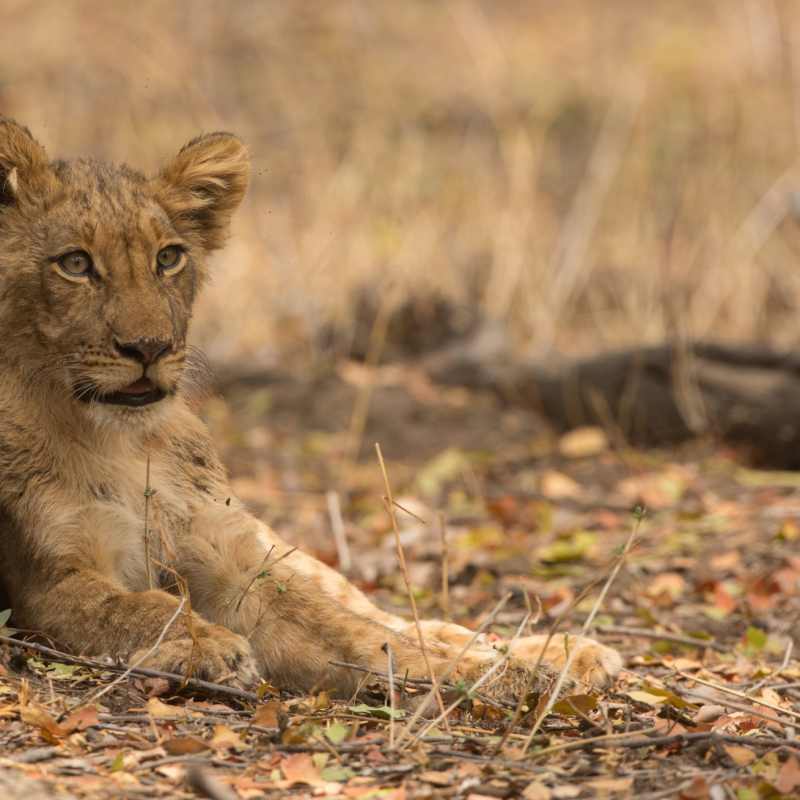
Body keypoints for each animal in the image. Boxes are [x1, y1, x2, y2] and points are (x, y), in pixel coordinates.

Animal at [0, 118, 621, 701]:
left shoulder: (228, 557)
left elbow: (353, 632)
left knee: (382, 611)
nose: (149, 348)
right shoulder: (47, 581)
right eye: (75, 264)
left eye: (168, 258)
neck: (121, 441)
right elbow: (141, 606)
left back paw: (562, 651)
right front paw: (207, 646)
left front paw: (504, 675)